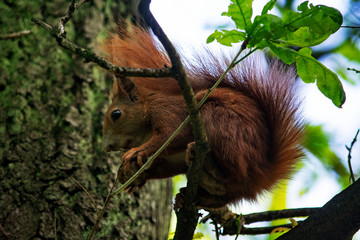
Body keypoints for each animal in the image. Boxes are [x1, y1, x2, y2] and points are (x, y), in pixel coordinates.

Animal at [101, 26, 304, 209]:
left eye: (116, 114)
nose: (107, 146)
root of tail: (262, 173)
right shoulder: (174, 158)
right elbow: (167, 165)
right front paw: (135, 175)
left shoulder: (168, 113)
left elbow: (171, 136)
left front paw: (135, 152)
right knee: (224, 197)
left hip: (219, 121)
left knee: (231, 171)